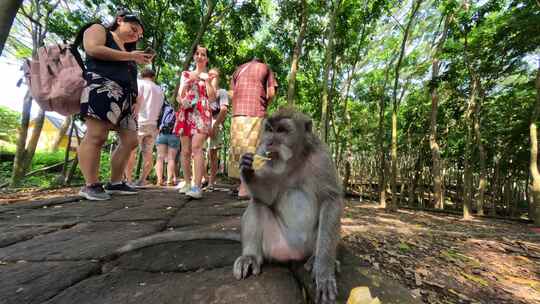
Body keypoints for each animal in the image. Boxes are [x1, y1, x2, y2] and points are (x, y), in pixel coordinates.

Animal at [235, 108, 344, 302]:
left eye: (282, 130)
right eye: (269, 129)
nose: (269, 142)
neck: (296, 161)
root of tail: (295, 254)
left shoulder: (322, 157)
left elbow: (331, 201)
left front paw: (324, 271)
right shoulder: (265, 158)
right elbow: (267, 196)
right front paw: (247, 169)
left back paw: (316, 259)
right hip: (273, 244)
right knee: (258, 203)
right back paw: (250, 256)